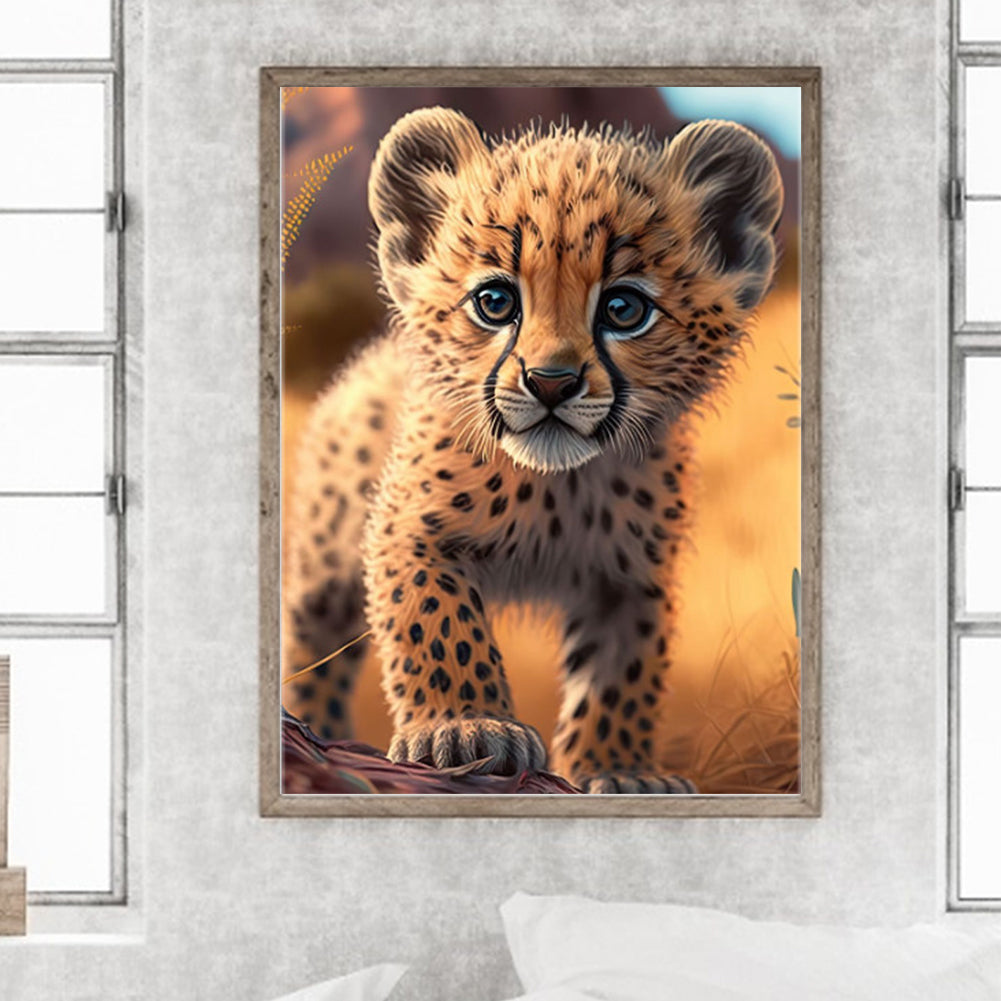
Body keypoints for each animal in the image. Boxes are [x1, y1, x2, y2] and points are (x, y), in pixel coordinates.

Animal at [283, 106, 783, 793]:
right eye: (495, 303)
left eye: (624, 309)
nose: (550, 382)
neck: (558, 486)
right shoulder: (410, 529)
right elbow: (439, 623)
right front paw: (466, 727)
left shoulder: (633, 575)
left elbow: (624, 672)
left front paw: (620, 769)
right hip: (326, 548)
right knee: (312, 634)